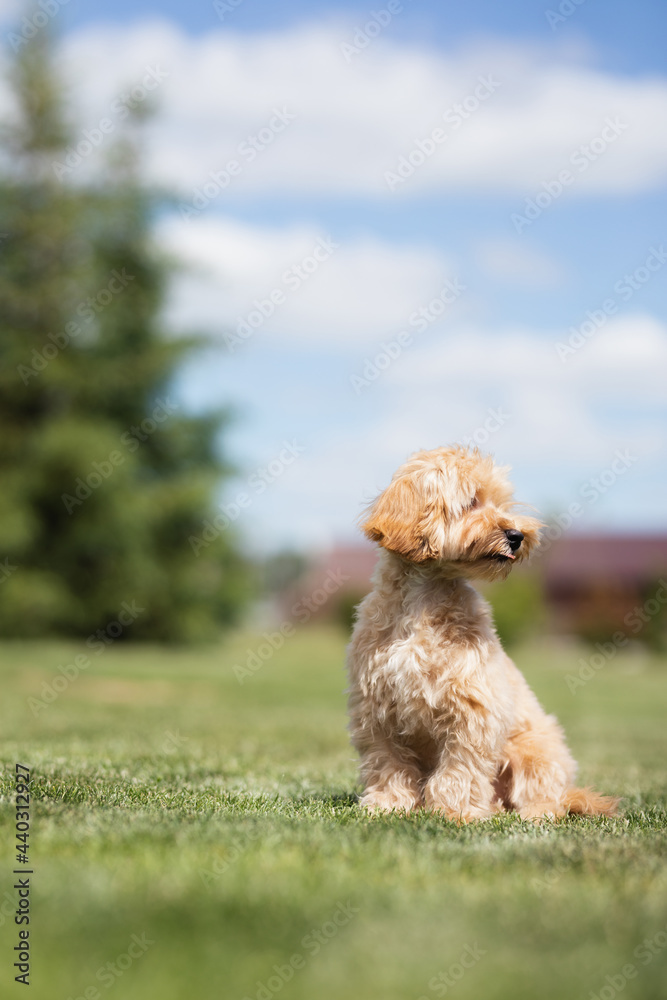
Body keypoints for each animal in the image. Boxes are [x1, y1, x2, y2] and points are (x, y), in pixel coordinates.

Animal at [348, 448, 620, 820]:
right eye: (471, 501)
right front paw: (388, 804)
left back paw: (533, 813)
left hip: (534, 751)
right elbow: (388, 762)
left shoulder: (473, 706)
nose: (517, 536)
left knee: (547, 795)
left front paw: (455, 812)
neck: (422, 602)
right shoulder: (376, 708)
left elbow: (460, 768)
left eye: (501, 502)